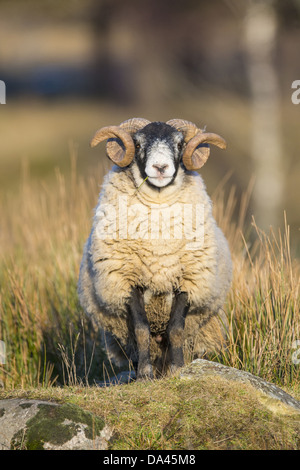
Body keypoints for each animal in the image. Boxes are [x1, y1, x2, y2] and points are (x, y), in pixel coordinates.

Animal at [77, 118, 232, 382]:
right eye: (138, 144)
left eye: (179, 144)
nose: (160, 167)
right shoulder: (127, 281)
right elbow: (141, 330)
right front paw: (144, 374)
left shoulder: (188, 281)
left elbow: (176, 329)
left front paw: (178, 369)